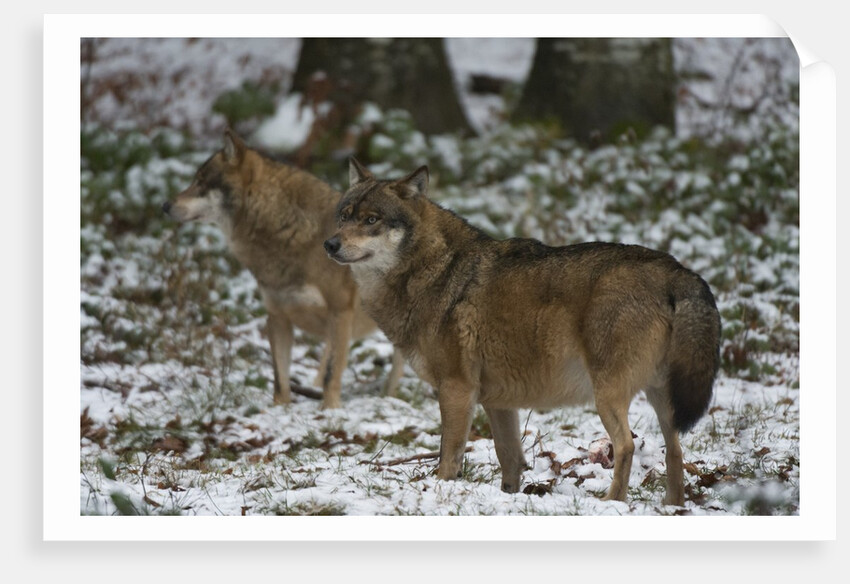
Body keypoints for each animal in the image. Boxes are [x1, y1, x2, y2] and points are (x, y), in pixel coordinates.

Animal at [162, 131, 403, 410]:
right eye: (194, 181)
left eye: (201, 182)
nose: (165, 205)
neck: (288, 231)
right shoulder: (277, 316)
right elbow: (280, 377)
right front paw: (281, 408)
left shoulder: (340, 312)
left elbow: (333, 372)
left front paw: (329, 411)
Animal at [324, 159, 721, 505]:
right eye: (343, 216)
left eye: (371, 220)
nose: (330, 244)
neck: (433, 269)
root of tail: (675, 269)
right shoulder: (498, 402)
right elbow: (509, 458)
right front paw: (510, 498)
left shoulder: (456, 389)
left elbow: (449, 456)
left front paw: (439, 491)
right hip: (662, 399)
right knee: (675, 450)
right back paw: (673, 506)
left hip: (608, 395)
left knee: (626, 446)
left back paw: (613, 502)